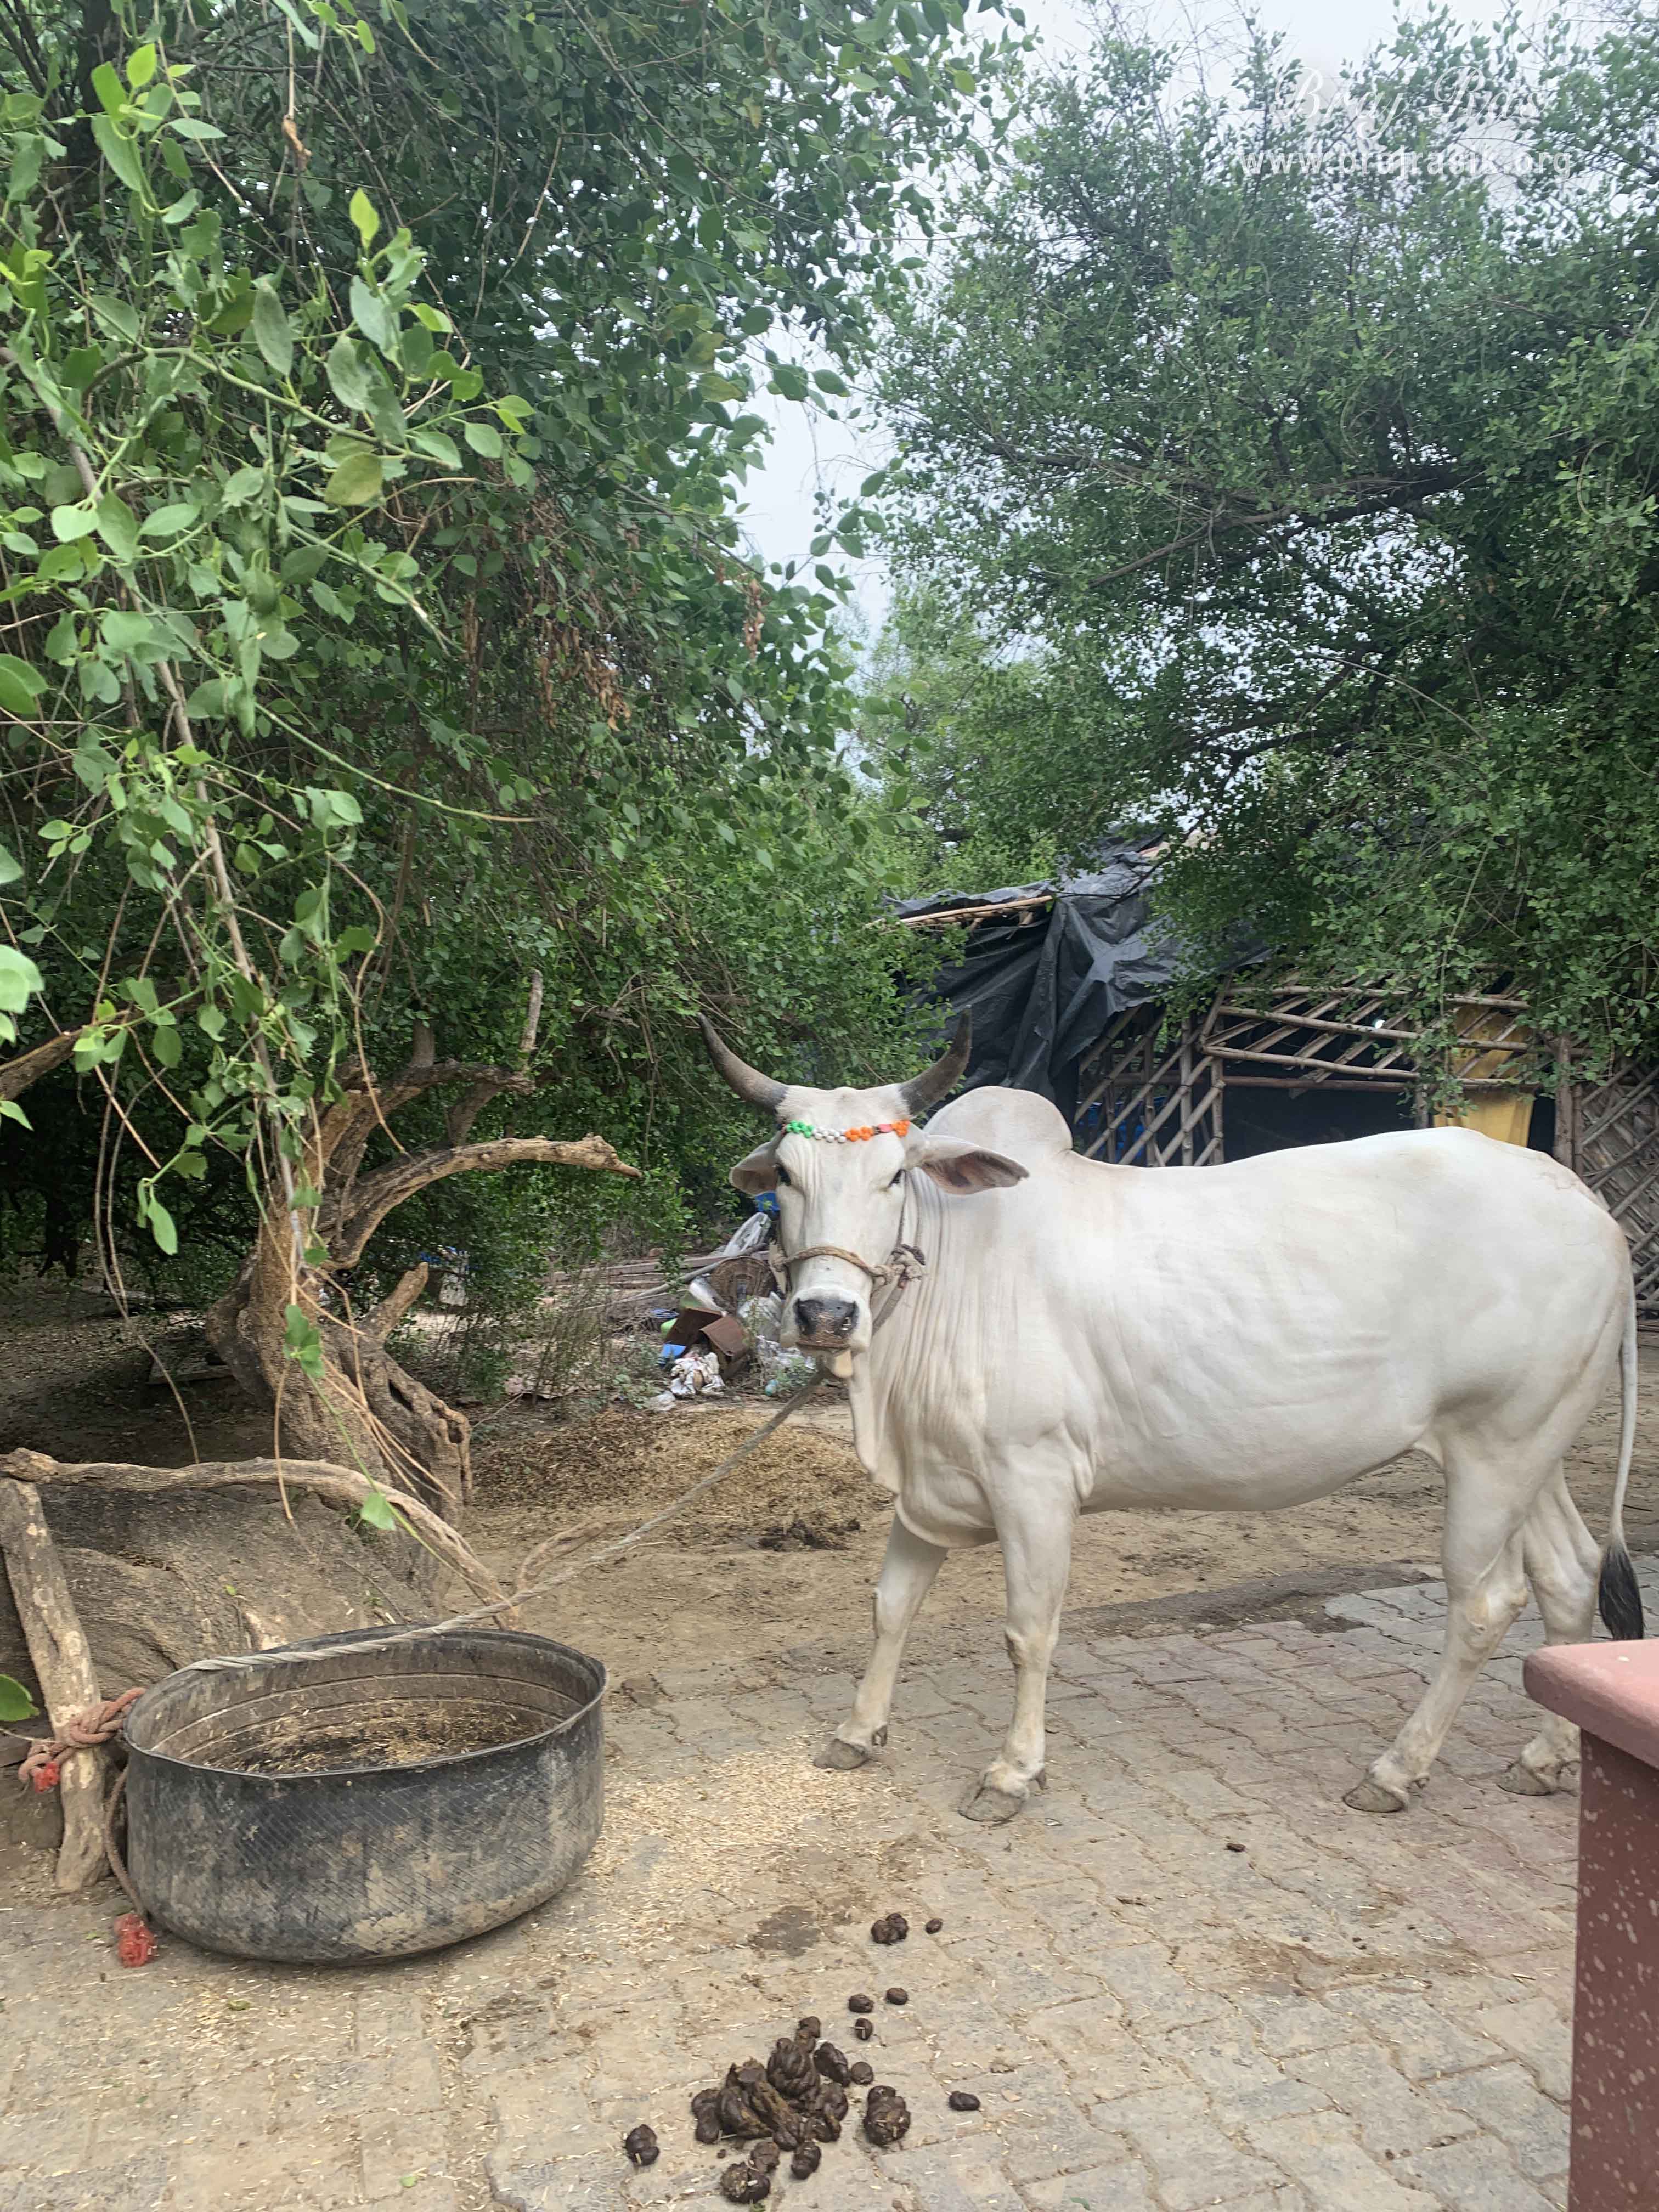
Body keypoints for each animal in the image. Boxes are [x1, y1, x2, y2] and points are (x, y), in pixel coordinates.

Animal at [701, 1014, 1644, 1823]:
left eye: (895, 1175)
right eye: (785, 1178)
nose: (827, 1315)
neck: (952, 1270)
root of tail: (1583, 1201)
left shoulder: (1034, 1479)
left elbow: (1027, 1632)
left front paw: (1013, 1772)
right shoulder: (931, 1480)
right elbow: (891, 1605)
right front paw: (857, 1732)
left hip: (1497, 1449)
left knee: (1485, 1602)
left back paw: (1395, 1770)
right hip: (1530, 1450)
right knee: (1568, 1575)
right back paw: (1545, 1758)